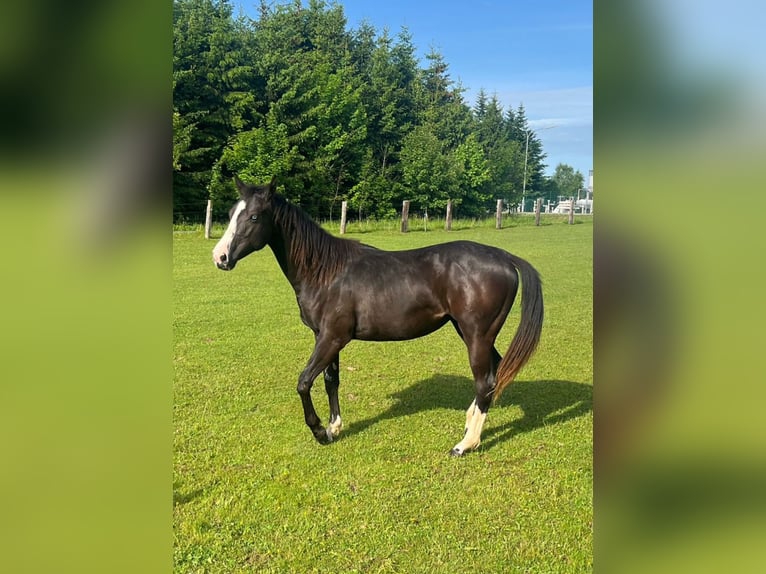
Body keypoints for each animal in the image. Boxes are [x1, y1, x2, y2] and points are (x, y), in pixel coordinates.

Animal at [212, 176, 544, 456]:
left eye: (254, 217)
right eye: (231, 213)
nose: (220, 257)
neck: (326, 272)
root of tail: (504, 258)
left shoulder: (332, 338)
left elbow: (304, 382)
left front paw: (319, 431)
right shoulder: (325, 337)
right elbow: (331, 380)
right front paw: (334, 427)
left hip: (477, 335)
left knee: (484, 381)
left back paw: (465, 444)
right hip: (471, 332)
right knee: (495, 374)